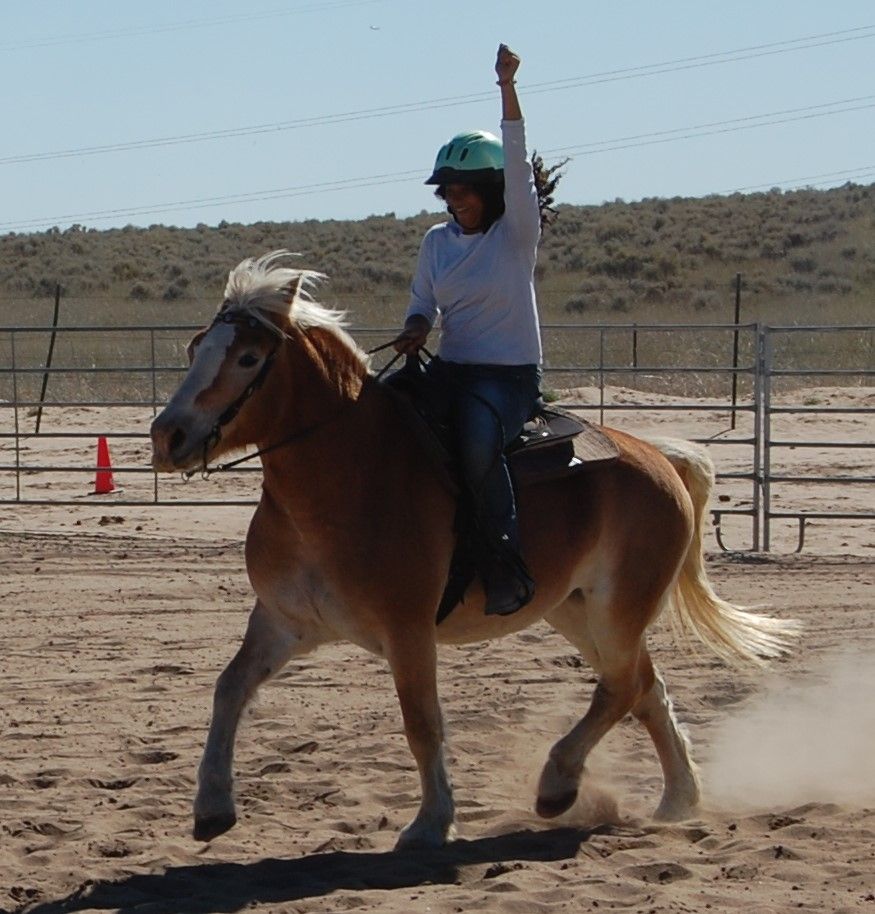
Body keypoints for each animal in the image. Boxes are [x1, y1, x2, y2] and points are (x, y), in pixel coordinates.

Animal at [150, 251, 797, 850]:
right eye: (195, 347)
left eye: (247, 357)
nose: (166, 435)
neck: (349, 474)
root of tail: (660, 456)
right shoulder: (284, 620)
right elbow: (229, 688)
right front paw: (212, 806)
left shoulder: (407, 629)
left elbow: (422, 722)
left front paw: (431, 823)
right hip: (574, 609)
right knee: (644, 686)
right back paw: (677, 797)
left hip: (619, 609)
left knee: (622, 687)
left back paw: (558, 785)